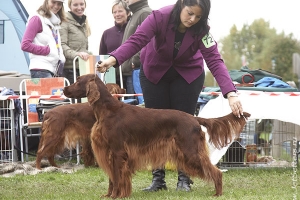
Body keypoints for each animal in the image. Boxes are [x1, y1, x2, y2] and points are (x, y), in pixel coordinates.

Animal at [63, 74, 251, 198]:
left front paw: (117, 195)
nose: (64, 89)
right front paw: (109, 195)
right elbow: (112, 178)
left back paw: (217, 193)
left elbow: (117, 178)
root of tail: (194, 118)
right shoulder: (109, 152)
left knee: (216, 172)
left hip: (190, 151)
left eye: (78, 81)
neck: (107, 110)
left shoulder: (117, 152)